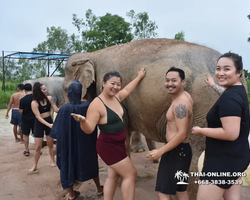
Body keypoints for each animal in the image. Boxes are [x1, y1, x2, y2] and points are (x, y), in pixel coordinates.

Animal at [63, 38, 248, 198]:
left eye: (65, 88)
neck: (93, 54)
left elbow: (123, 130)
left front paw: (120, 181)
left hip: (199, 108)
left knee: (194, 159)